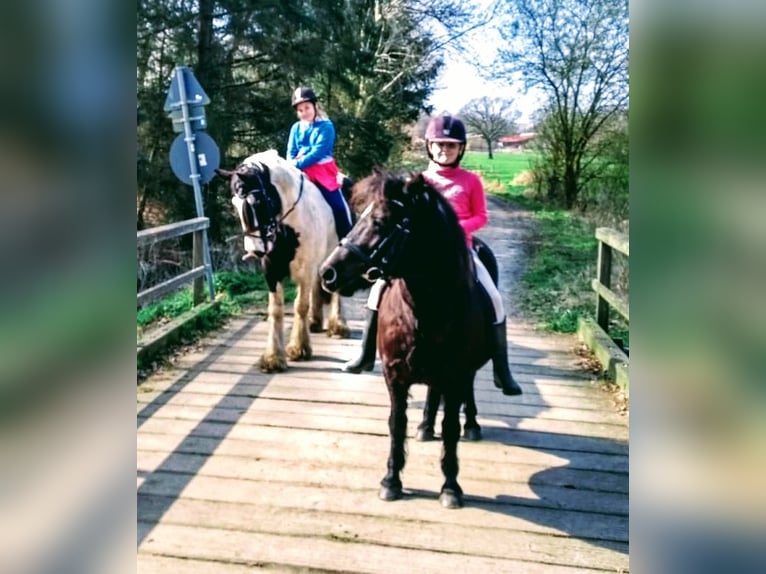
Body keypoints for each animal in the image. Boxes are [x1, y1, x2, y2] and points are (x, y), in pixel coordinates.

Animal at [320, 170, 496, 508]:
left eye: (380, 221)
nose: (327, 273)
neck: (426, 308)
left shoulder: (455, 373)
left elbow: (450, 427)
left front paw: (450, 487)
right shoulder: (395, 374)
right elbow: (396, 423)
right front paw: (391, 481)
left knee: (465, 395)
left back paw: (472, 425)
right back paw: (425, 427)